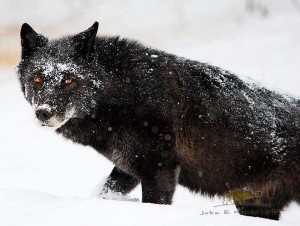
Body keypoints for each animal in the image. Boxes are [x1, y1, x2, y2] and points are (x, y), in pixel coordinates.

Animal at [17, 22, 298, 220]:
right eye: (38, 78)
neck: (121, 94)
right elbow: (105, 191)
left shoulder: (159, 168)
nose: (43, 112)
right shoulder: (128, 167)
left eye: (68, 80)